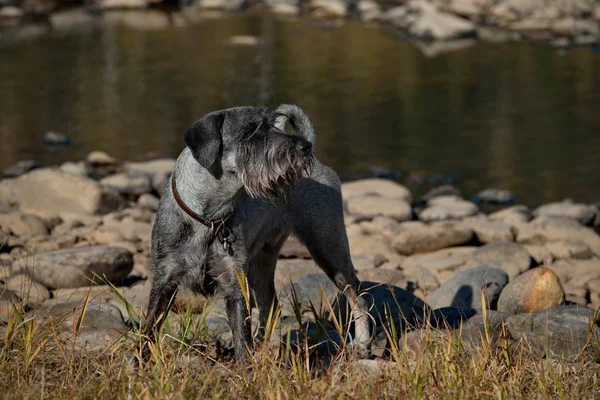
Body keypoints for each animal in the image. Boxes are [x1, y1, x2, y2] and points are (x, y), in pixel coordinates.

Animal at [144, 104, 370, 360]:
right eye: (251, 130)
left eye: (271, 123)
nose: (304, 147)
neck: (207, 218)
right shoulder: (165, 279)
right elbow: (149, 327)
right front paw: (140, 360)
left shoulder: (235, 284)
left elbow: (241, 336)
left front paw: (244, 365)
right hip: (261, 263)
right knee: (270, 306)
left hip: (329, 251)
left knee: (358, 296)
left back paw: (362, 344)